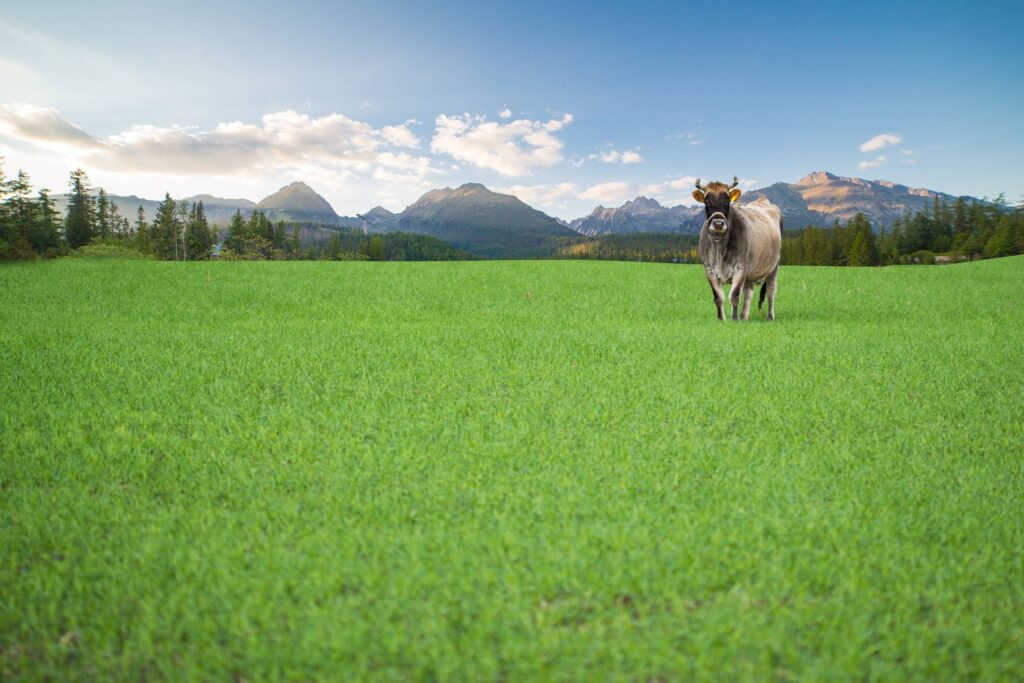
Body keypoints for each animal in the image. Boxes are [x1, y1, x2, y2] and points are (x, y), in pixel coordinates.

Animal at [696, 179, 782, 323]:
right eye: (706, 202)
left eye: (727, 201)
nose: (718, 224)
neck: (720, 249)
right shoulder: (708, 269)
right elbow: (718, 298)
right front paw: (721, 319)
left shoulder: (741, 267)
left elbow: (735, 295)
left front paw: (734, 319)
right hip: (752, 271)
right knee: (748, 292)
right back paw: (744, 316)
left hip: (774, 265)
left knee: (771, 291)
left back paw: (769, 317)